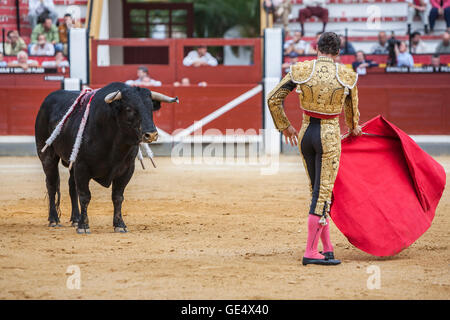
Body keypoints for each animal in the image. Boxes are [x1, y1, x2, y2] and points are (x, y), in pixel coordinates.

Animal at [35, 81, 179, 234]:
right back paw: (54, 219)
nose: (151, 134)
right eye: (129, 108)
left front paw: (120, 224)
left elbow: (117, 196)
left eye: (151, 107)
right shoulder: (82, 166)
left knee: (71, 186)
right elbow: (85, 196)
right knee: (51, 184)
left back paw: (75, 219)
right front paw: (83, 226)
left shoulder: (127, 169)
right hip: (47, 156)